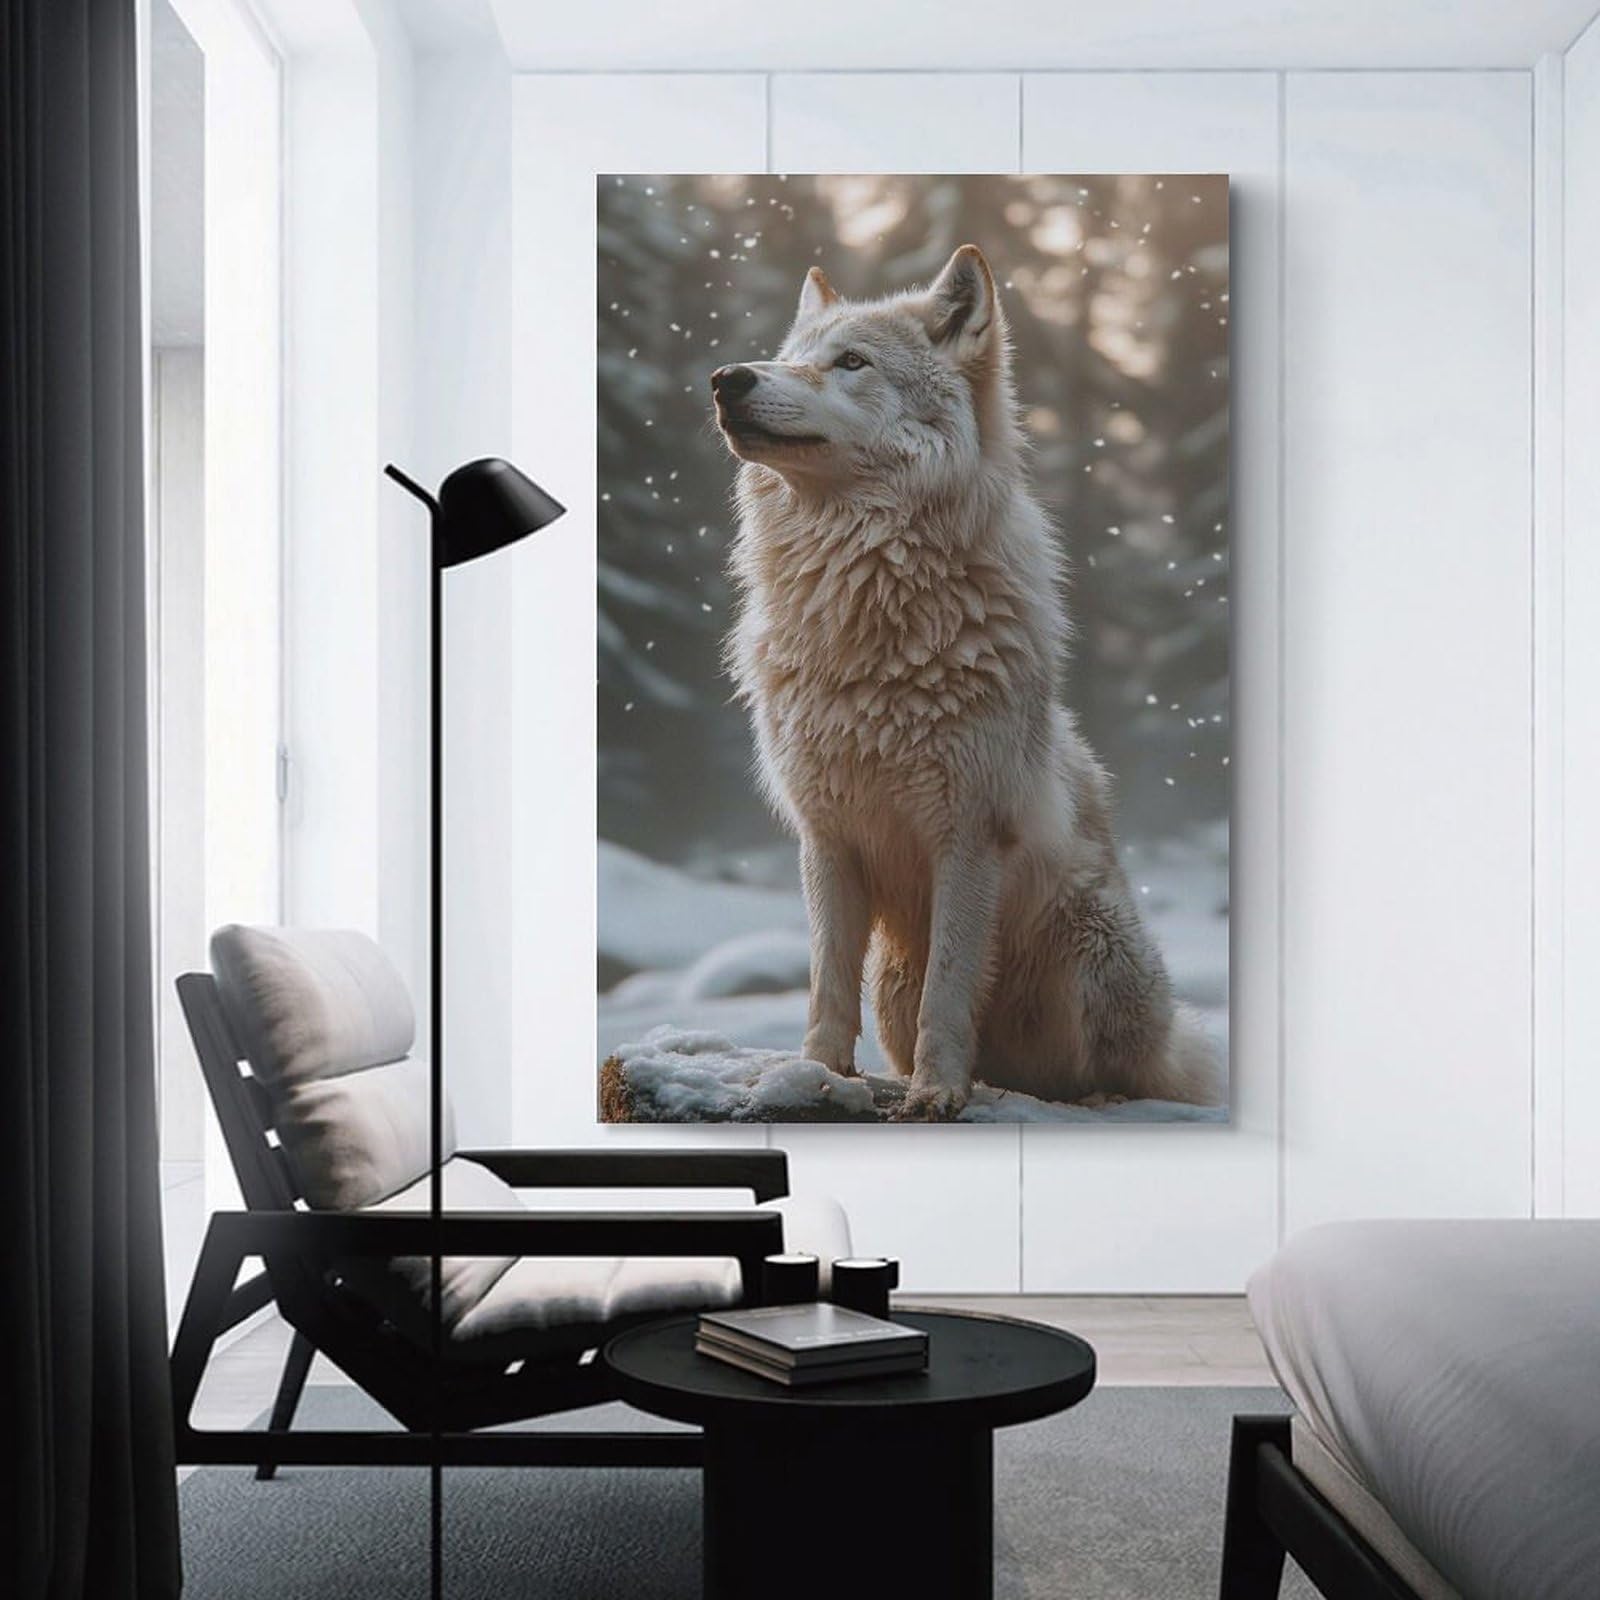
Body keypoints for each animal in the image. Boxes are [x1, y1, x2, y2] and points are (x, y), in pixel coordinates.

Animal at [711, 244, 1221, 1120]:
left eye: (851, 363)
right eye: (791, 355)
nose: (726, 379)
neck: (867, 619)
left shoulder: (969, 833)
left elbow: (950, 991)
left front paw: (936, 1093)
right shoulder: (825, 837)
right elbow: (825, 984)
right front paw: (814, 1077)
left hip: (1096, 945)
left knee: (1115, 1076)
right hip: (895, 978)